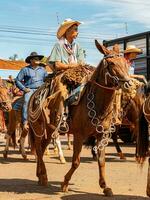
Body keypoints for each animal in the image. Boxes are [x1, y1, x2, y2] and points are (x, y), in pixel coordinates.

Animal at [28, 40, 131, 195]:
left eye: (125, 62)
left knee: (41, 148)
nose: (128, 83)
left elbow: (101, 160)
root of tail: (33, 96)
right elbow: (76, 161)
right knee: (39, 150)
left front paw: (105, 186)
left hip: (50, 130)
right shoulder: (78, 135)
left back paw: (40, 175)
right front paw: (65, 183)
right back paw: (44, 176)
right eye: (111, 63)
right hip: (39, 128)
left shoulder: (102, 134)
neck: (98, 103)